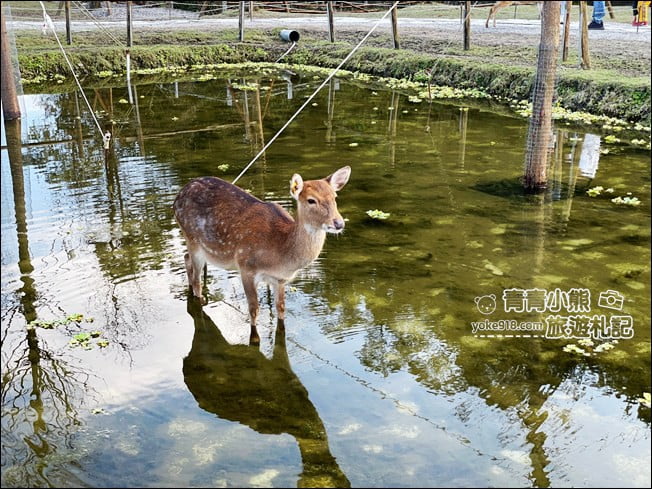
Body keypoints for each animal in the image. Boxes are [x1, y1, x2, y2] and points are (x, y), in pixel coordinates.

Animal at [173, 166, 351, 330]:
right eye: (311, 200)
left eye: (335, 197)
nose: (339, 223)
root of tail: (176, 199)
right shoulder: (246, 267)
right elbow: (254, 310)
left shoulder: (280, 280)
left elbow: (281, 308)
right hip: (192, 238)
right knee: (197, 282)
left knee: (186, 259)